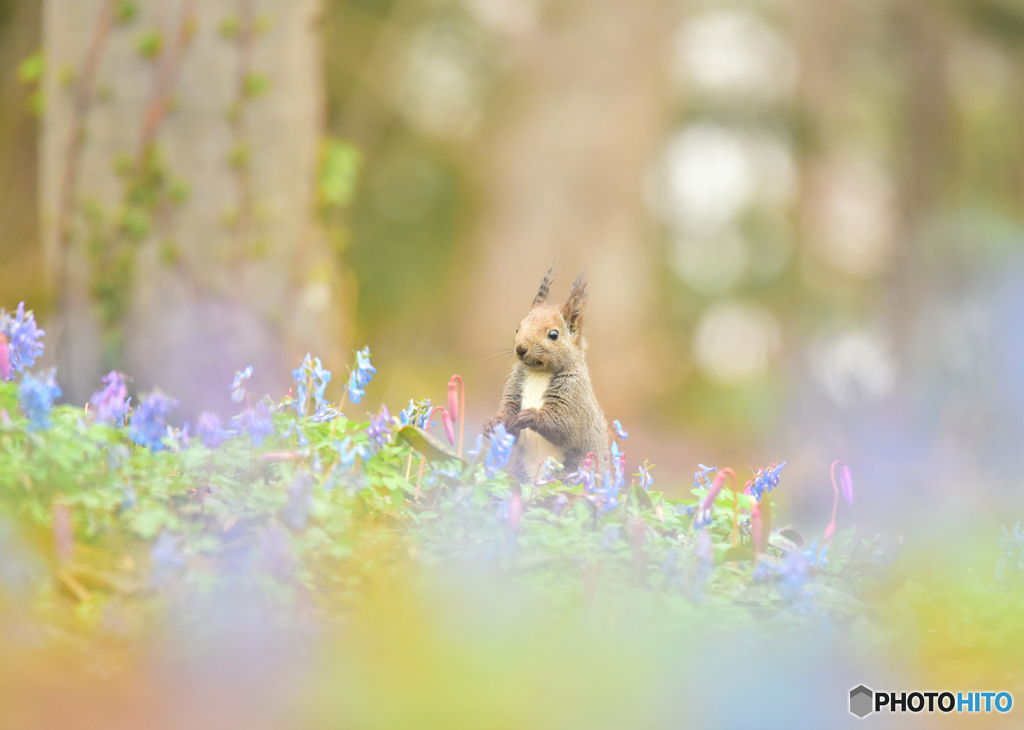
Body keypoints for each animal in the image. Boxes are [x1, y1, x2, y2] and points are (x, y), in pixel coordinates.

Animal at [481, 264, 606, 481]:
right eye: (518, 328)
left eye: (554, 334)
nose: (521, 348)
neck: (539, 372)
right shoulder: (515, 388)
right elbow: (509, 413)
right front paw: (495, 422)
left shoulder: (575, 397)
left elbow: (566, 426)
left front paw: (531, 416)